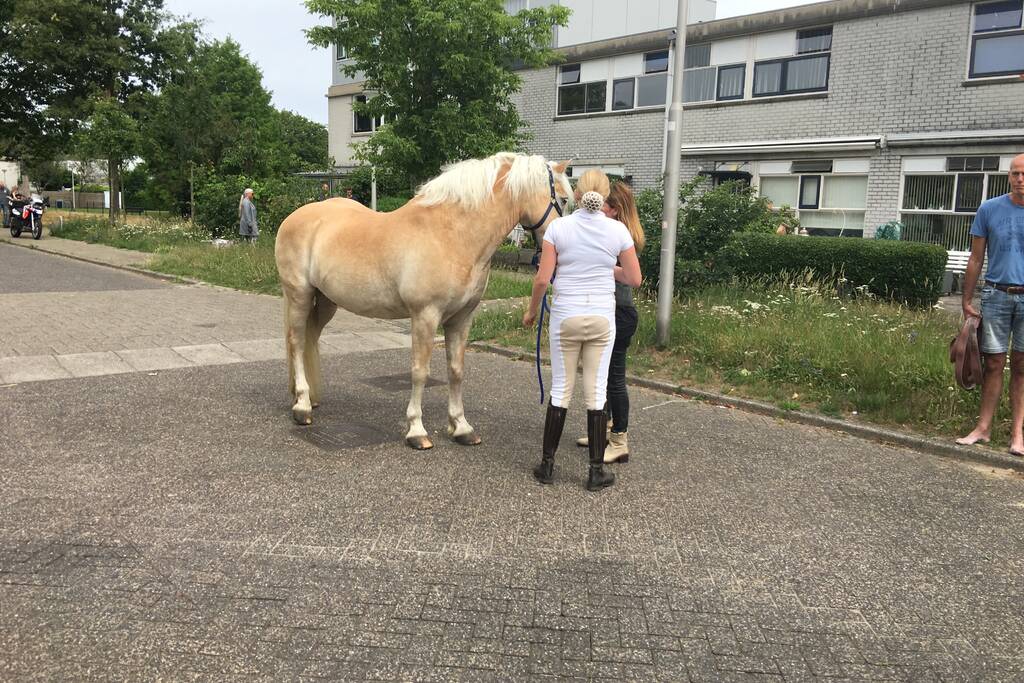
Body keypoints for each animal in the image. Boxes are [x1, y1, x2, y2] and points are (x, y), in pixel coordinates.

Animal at [274, 152, 573, 449]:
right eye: (564, 199)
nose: (557, 251)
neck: (452, 235)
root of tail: (294, 217)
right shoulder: (425, 316)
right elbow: (420, 371)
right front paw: (416, 430)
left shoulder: (462, 319)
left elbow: (456, 370)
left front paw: (461, 427)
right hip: (299, 295)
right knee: (296, 342)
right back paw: (302, 406)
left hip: (326, 301)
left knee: (310, 338)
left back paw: (307, 397)